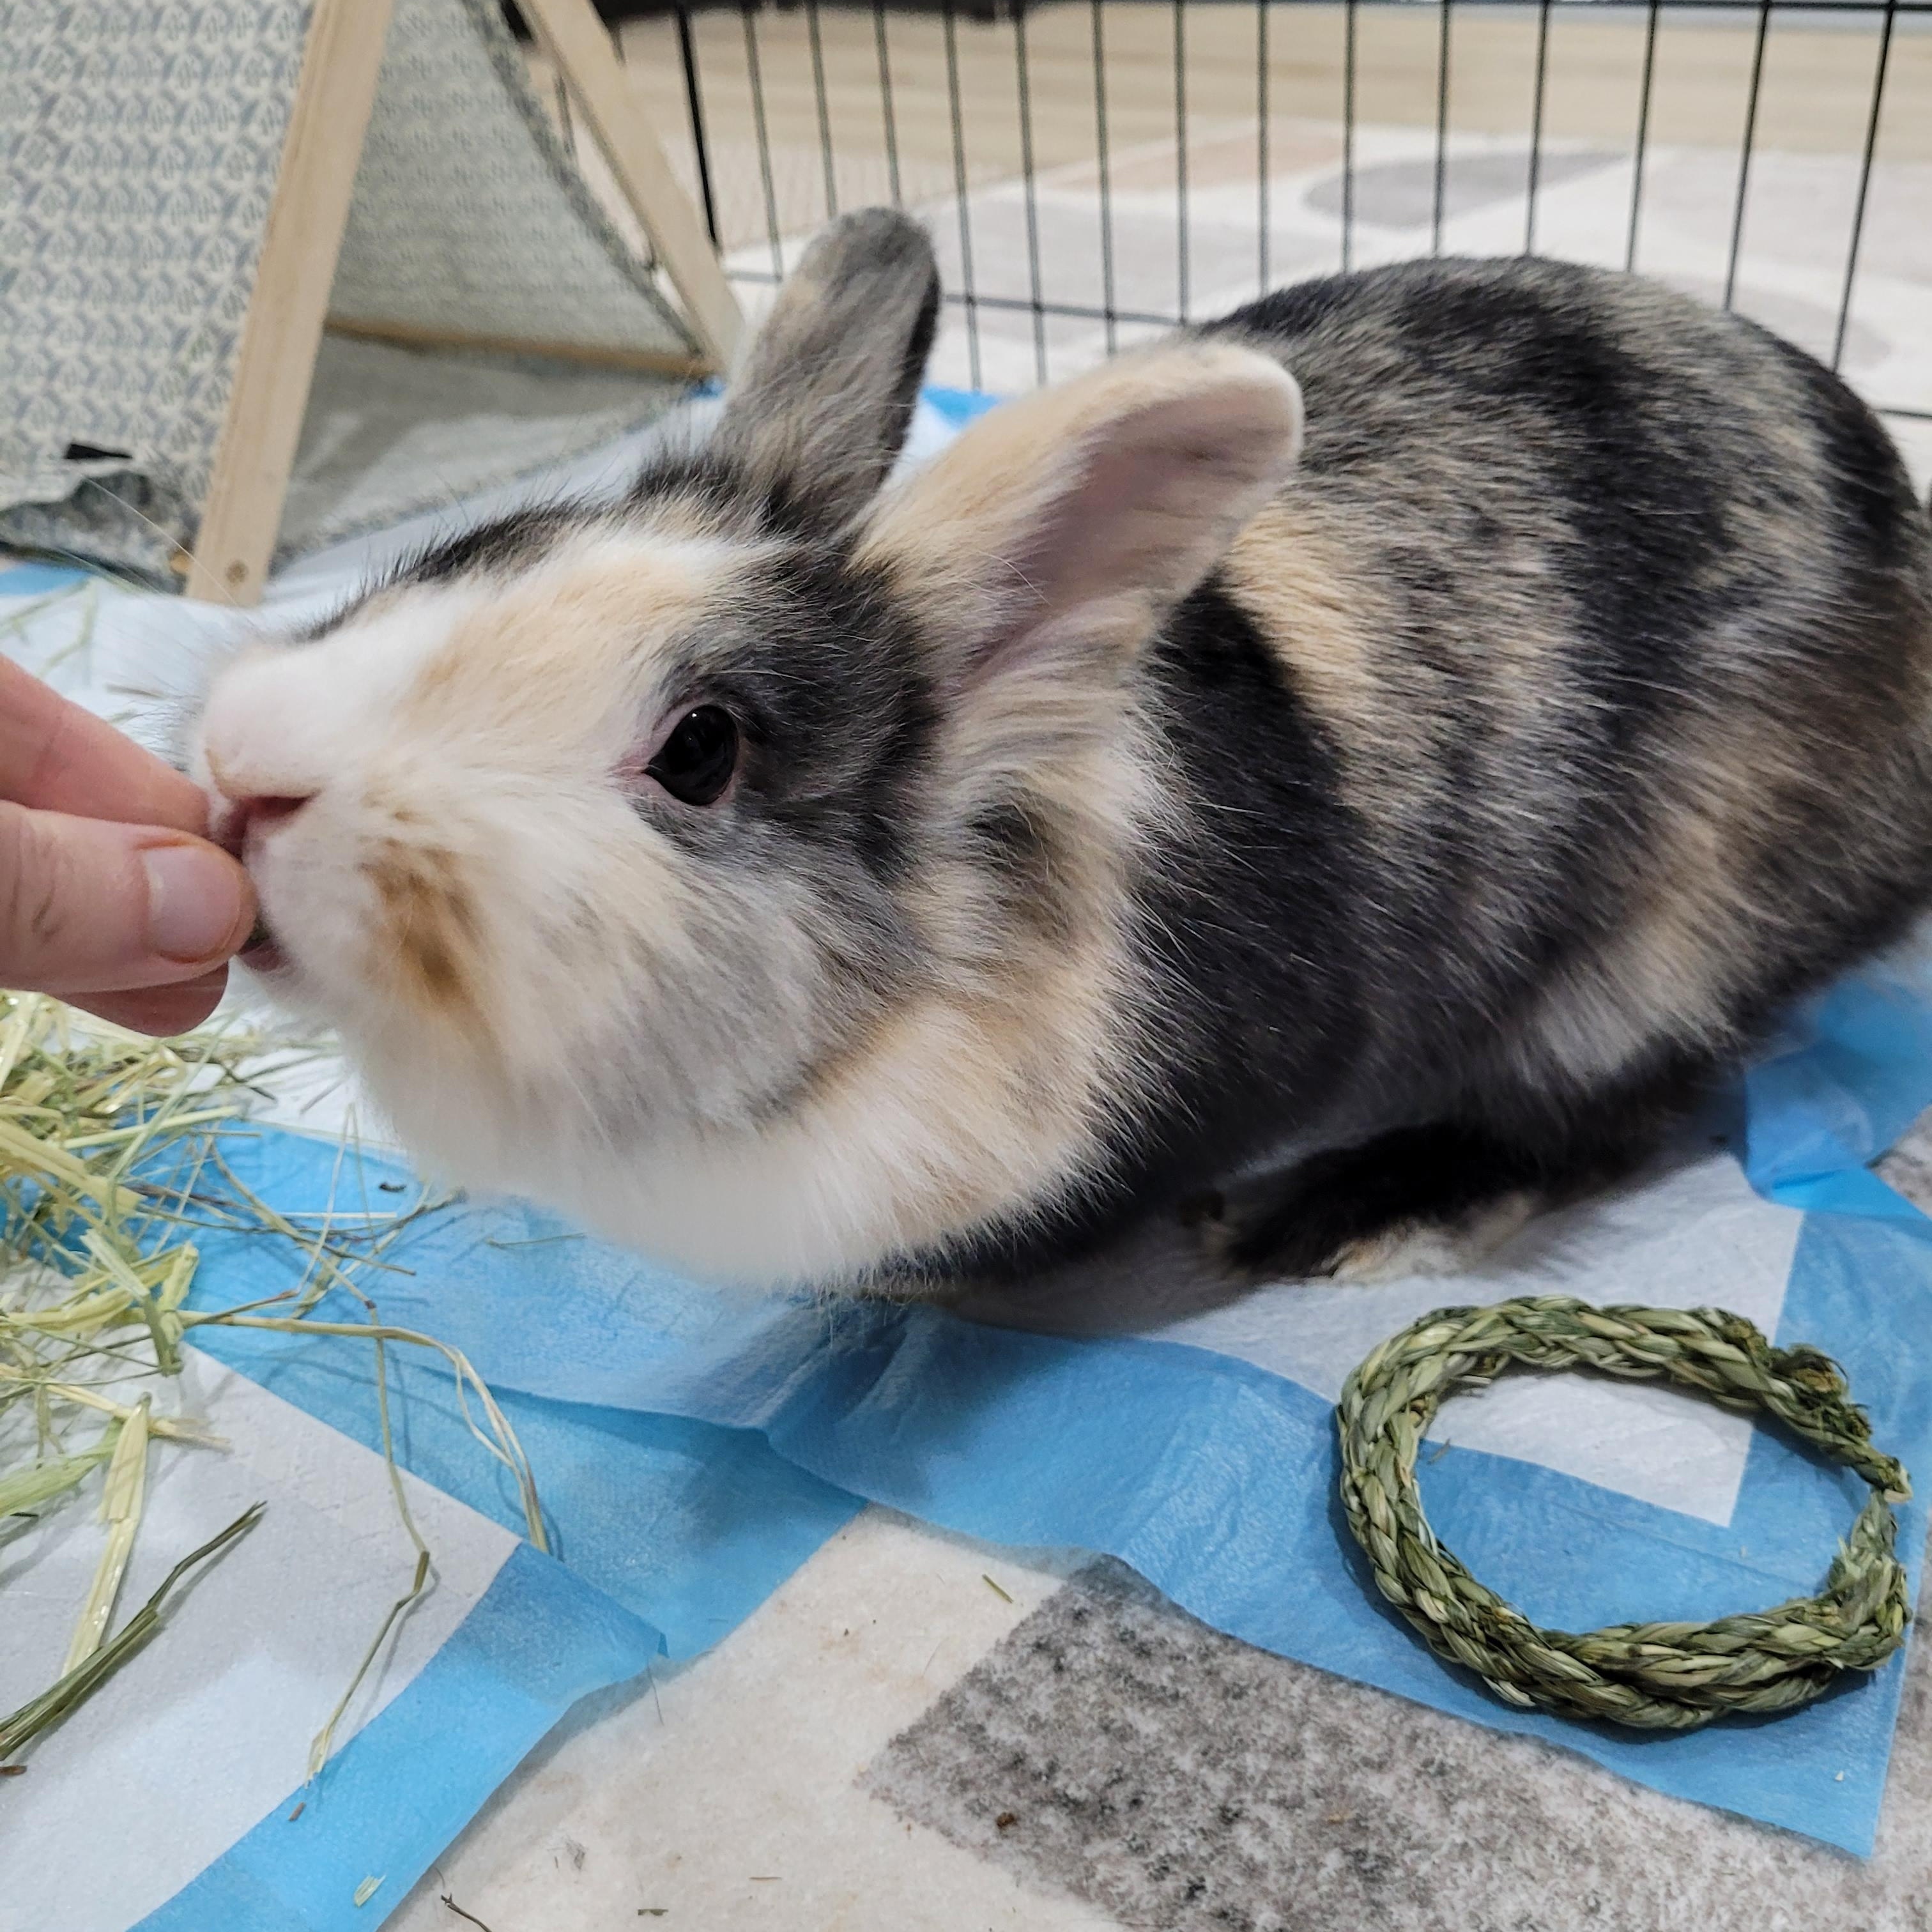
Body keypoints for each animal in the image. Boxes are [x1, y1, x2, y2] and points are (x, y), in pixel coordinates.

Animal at [196, 206, 1932, 1297]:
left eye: (700, 752)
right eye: (466, 552)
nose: (246, 769)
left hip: (1656, 947)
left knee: (1619, 1109)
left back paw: (1341, 1219)